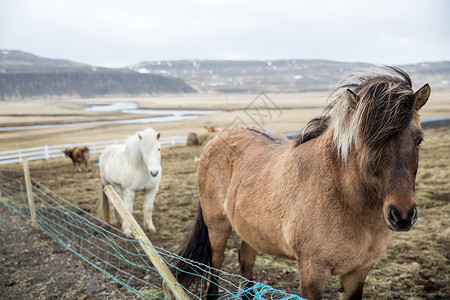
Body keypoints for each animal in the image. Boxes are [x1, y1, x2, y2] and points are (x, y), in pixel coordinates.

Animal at [174, 68, 430, 300]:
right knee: (215, 265)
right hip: (217, 227)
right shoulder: (312, 274)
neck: (345, 201)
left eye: (419, 139)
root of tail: (216, 140)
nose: (402, 215)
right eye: (365, 142)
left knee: (245, 259)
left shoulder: (358, 272)